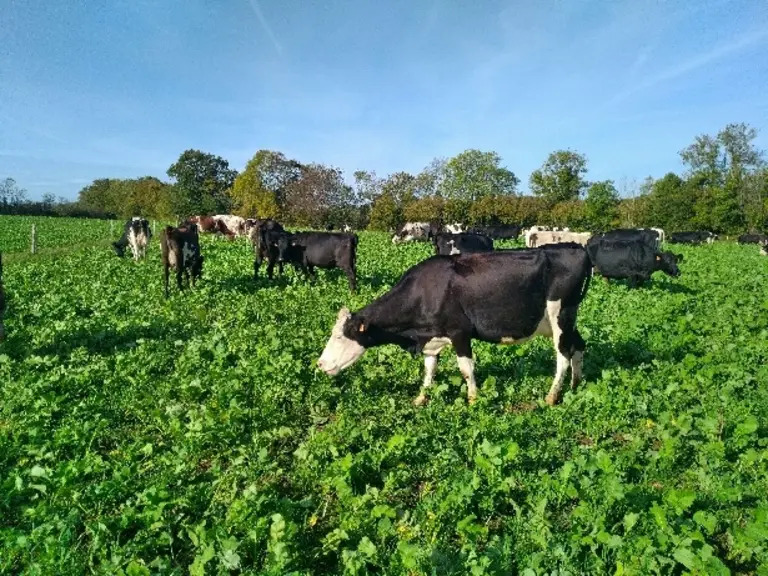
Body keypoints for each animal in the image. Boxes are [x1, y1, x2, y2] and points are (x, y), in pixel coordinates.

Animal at [317, 243, 592, 406]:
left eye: (341, 336)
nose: (320, 364)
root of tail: (576, 247)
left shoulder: (460, 332)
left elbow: (466, 369)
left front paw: (473, 400)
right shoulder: (431, 337)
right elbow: (429, 370)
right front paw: (421, 398)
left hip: (560, 315)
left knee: (562, 356)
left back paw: (552, 396)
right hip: (565, 320)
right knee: (578, 346)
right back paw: (575, 384)